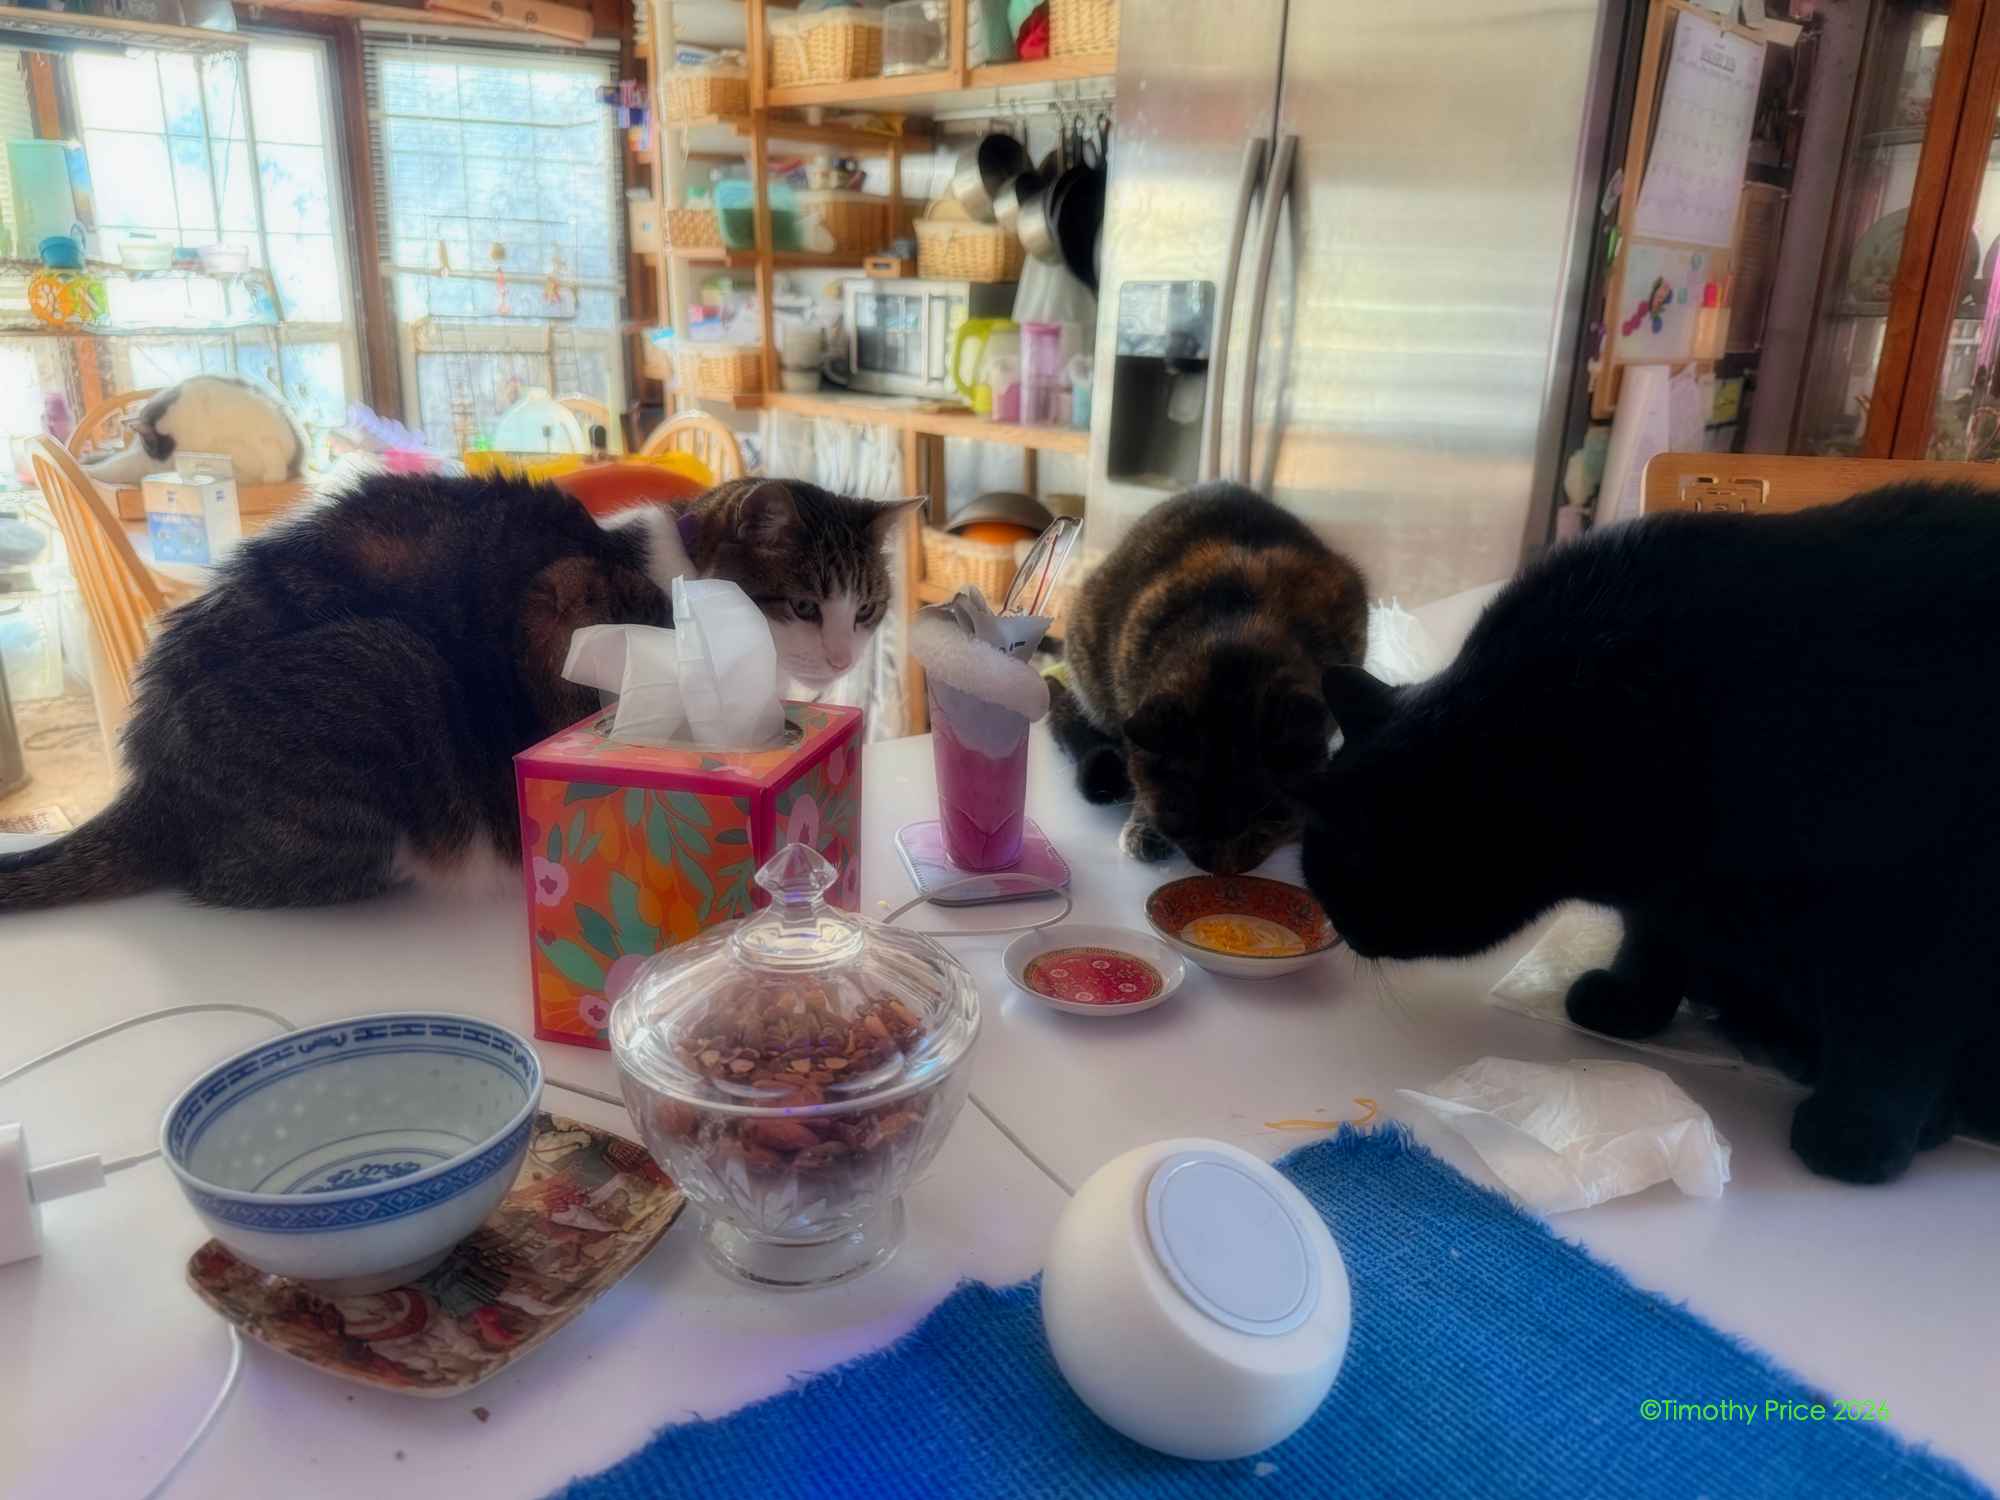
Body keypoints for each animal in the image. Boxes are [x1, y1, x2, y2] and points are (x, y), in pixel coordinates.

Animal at [0, 474, 915, 911]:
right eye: (805, 607)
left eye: (867, 610)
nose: (842, 652)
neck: (679, 570)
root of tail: (147, 783)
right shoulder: (566, 609)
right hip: (390, 666)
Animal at [1298, 482, 2000, 1185]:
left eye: (1333, 878)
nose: (1338, 929)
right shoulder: (1666, 891)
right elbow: (1653, 943)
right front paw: (1628, 1006)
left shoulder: (1918, 904)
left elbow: (1892, 1033)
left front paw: (1858, 1136)